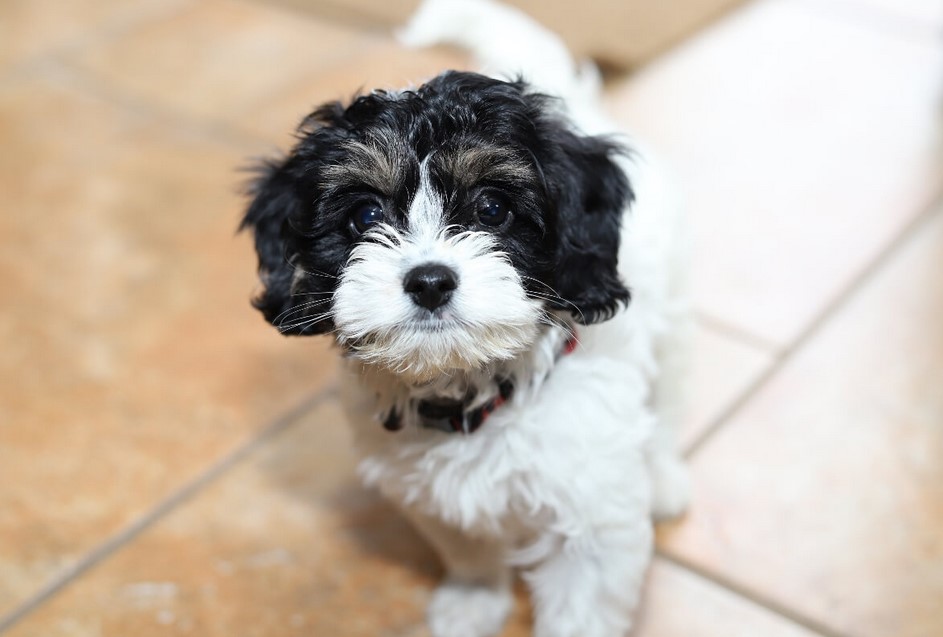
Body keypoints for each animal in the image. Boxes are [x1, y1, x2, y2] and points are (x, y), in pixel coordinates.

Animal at [240, 1, 688, 636]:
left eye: (493, 207)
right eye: (366, 215)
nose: (429, 280)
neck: (474, 388)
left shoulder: (593, 518)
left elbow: (581, 603)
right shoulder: (429, 494)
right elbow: (467, 546)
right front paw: (472, 602)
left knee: (670, 394)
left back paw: (666, 478)